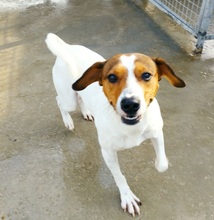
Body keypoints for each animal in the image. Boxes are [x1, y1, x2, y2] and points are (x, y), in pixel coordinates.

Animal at [45, 33, 186, 216]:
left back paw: (86, 112)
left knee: (81, 98)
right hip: (68, 99)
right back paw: (68, 121)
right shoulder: (108, 153)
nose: (130, 104)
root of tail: (66, 48)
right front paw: (127, 197)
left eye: (147, 75)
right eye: (112, 77)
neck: (131, 127)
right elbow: (119, 176)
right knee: (60, 102)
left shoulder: (157, 132)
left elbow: (162, 164)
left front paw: (158, 163)